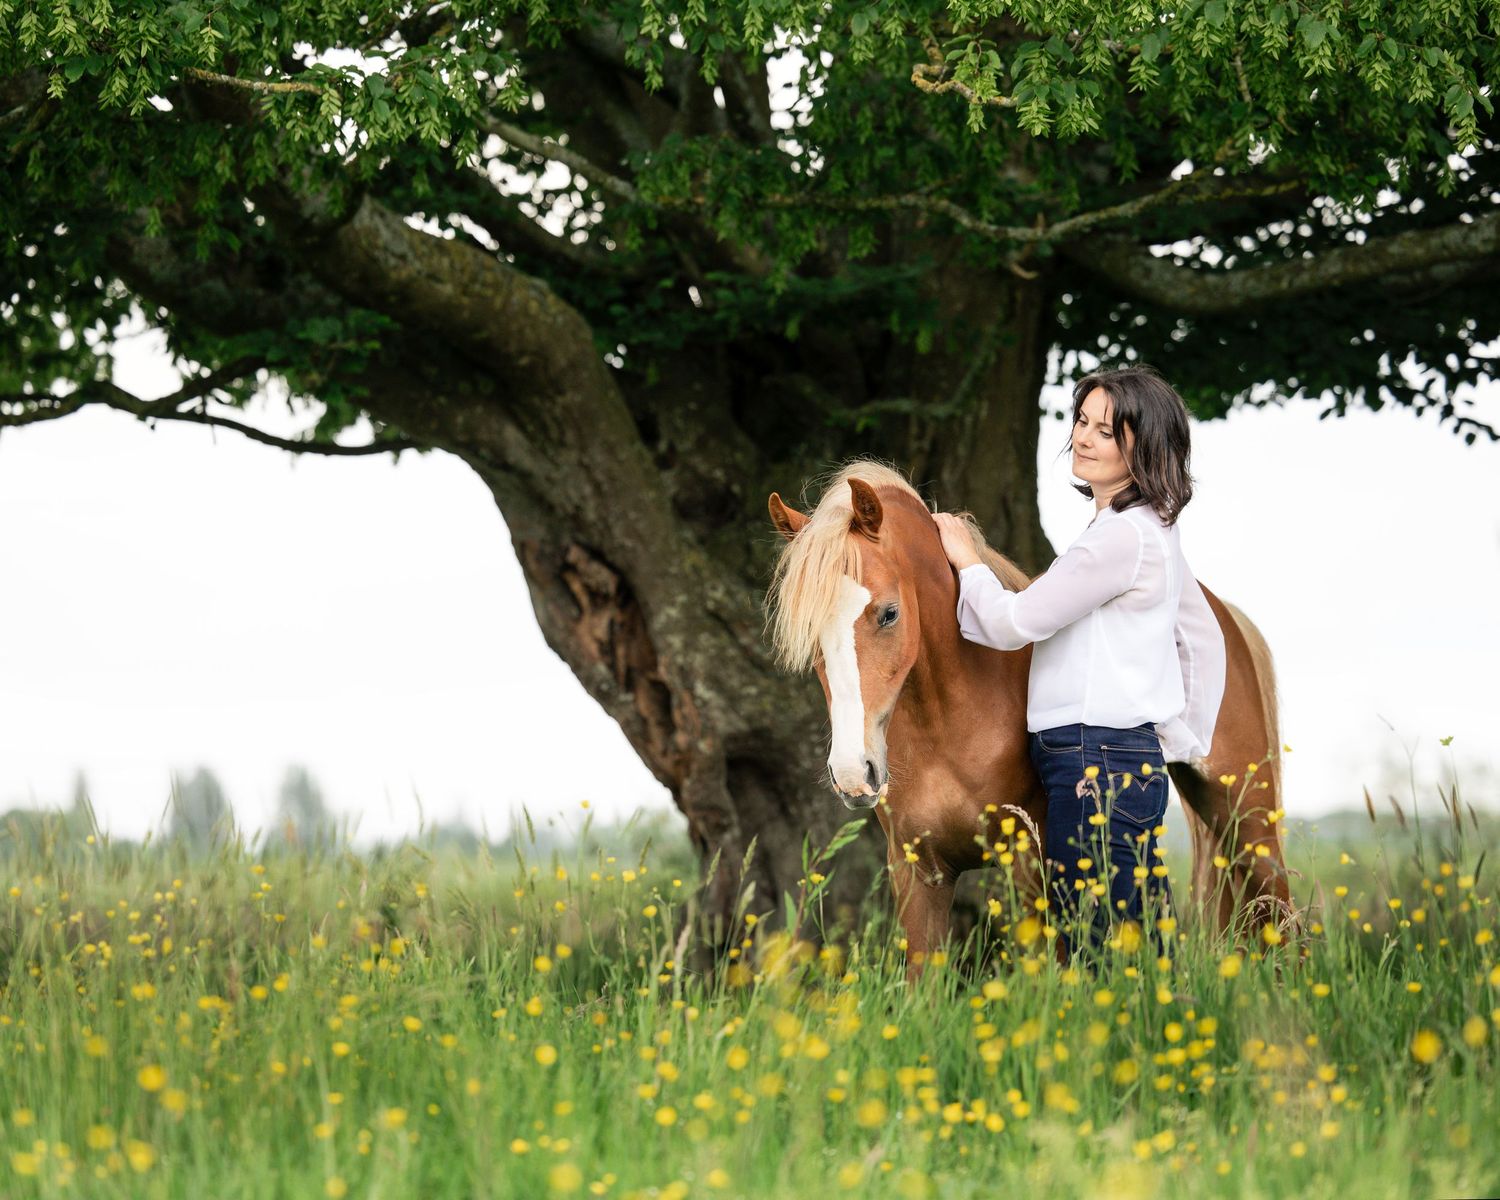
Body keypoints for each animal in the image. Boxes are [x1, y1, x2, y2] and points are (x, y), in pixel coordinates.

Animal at [765, 460, 1292, 975]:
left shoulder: (1029, 864)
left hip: (1250, 819)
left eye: (889, 613)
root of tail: (1223, 616)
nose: (854, 773)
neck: (949, 726)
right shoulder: (918, 875)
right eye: (810, 633)